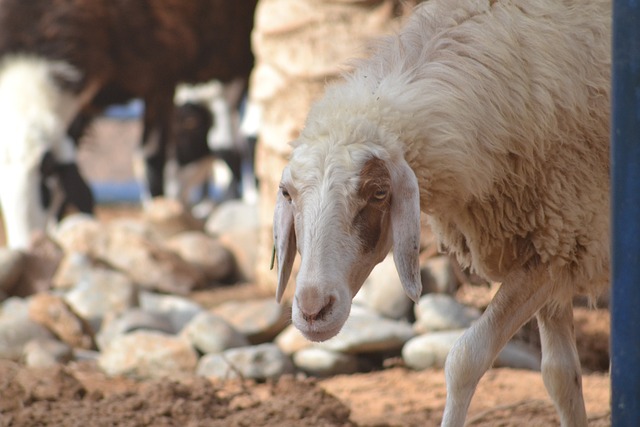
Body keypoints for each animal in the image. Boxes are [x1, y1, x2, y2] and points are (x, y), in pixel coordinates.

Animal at [272, 1, 612, 426]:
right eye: (288, 193)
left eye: (379, 192)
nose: (313, 310)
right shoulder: (556, 248)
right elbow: (560, 376)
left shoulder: (564, 236)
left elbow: (464, 360)